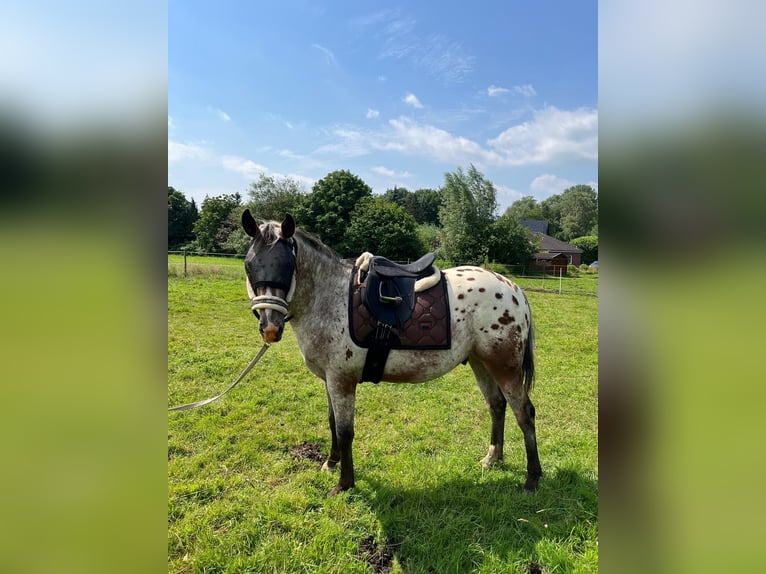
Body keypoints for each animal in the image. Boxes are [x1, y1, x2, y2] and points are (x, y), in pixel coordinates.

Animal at [243, 209, 544, 498]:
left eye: (287, 265)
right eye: (249, 265)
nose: (270, 327)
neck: (328, 298)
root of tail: (515, 290)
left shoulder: (342, 381)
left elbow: (345, 432)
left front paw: (344, 484)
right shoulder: (329, 380)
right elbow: (331, 423)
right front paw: (330, 463)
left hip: (505, 367)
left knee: (524, 412)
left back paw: (532, 479)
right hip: (481, 363)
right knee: (497, 405)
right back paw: (493, 459)